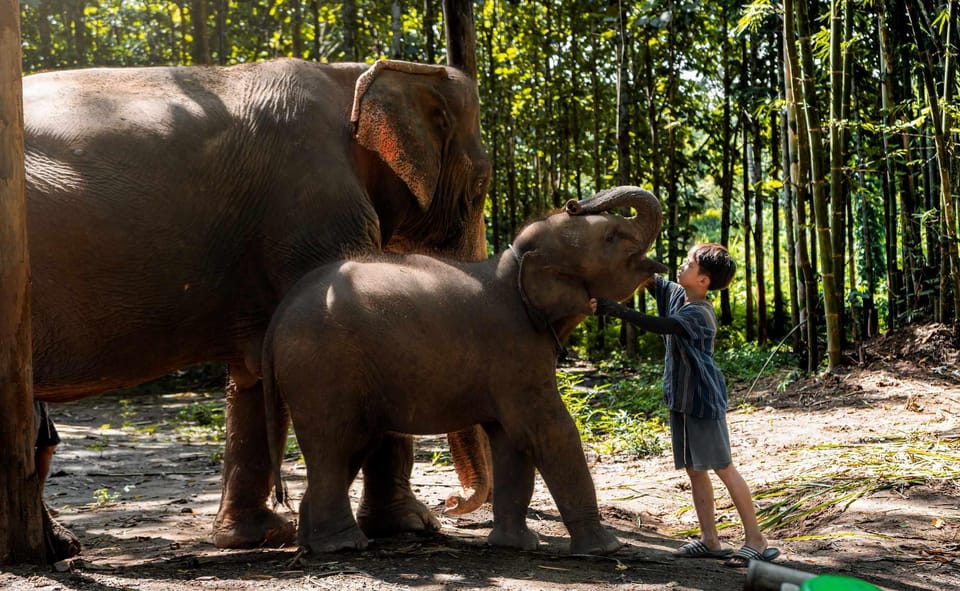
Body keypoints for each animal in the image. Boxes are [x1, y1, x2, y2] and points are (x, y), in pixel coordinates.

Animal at [23, 57, 496, 556]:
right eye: (482, 182)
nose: (453, 503)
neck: (347, 77)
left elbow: (255, 372)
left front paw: (256, 537)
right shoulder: (317, 212)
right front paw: (411, 526)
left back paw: (60, 546)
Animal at [262, 185, 668, 556]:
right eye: (611, 237)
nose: (574, 202)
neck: (512, 265)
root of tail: (278, 316)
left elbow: (510, 441)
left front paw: (515, 545)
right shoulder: (514, 349)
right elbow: (550, 430)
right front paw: (607, 549)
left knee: (351, 445)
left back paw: (312, 544)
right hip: (320, 370)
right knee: (333, 444)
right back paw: (344, 546)